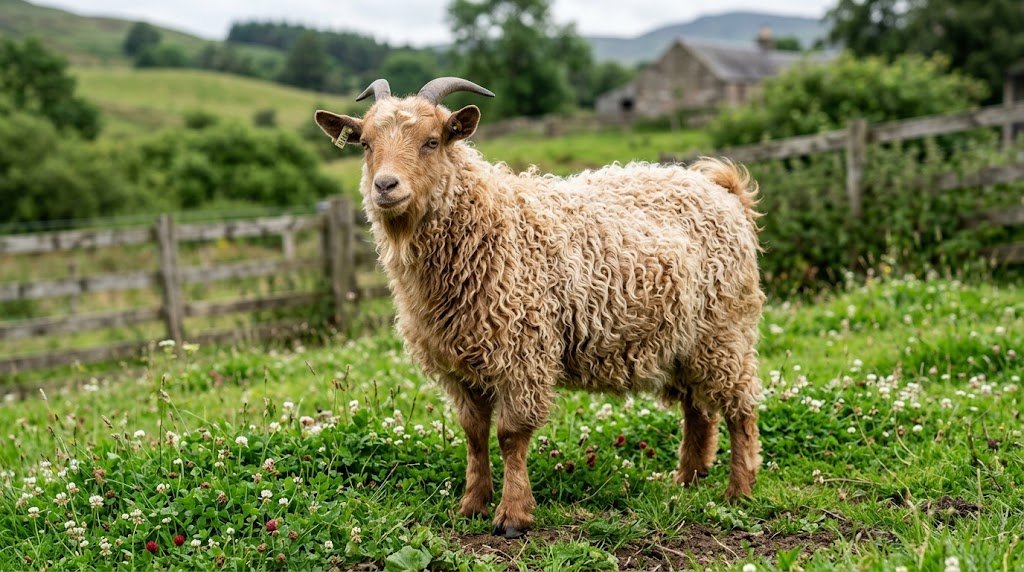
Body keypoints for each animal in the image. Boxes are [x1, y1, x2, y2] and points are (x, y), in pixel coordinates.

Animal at [315, 77, 764, 539]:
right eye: (366, 144)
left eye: (432, 141)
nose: (385, 186)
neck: (491, 226)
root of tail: (725, 193)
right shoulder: (459, 365)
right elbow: (474, 433)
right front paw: (472, 504)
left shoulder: (522, 353)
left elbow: (511, 436)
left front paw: (513, 515)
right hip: (683, 342)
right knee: (698, 407)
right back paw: (687, 479)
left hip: (725, 331)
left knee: (741, 406)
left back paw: (739, 489)